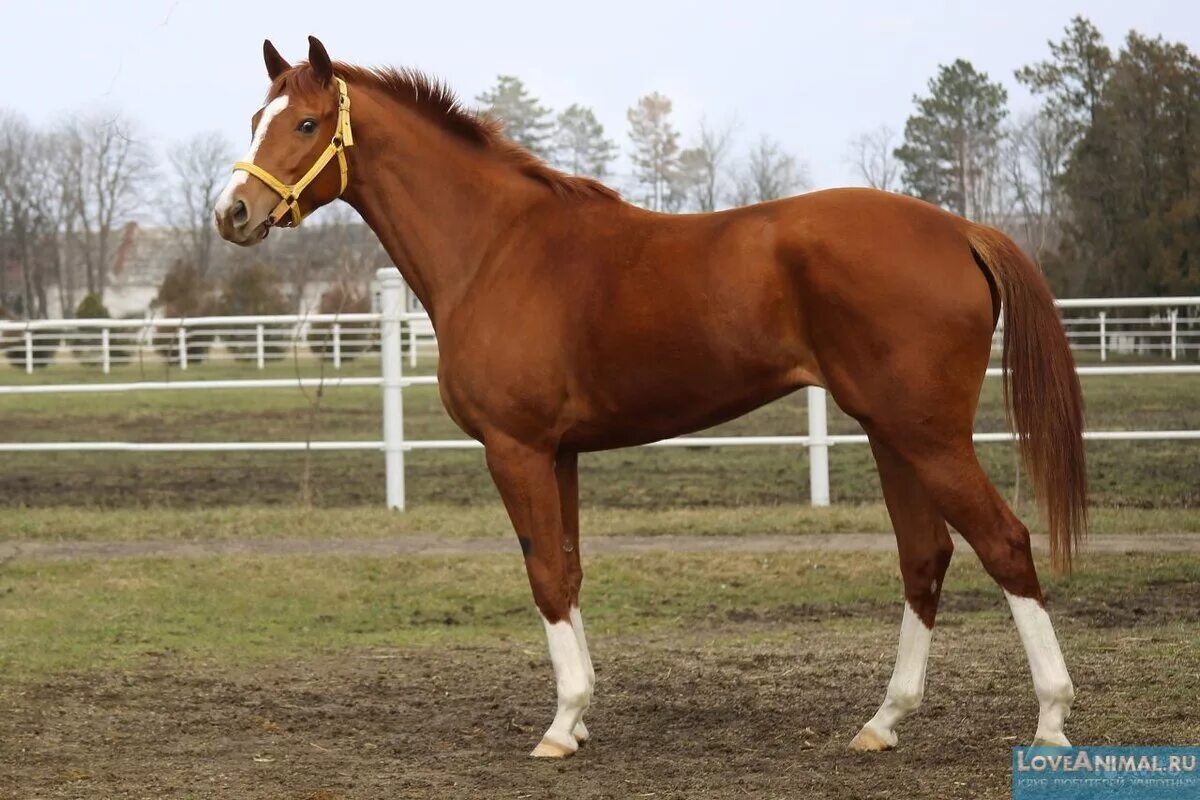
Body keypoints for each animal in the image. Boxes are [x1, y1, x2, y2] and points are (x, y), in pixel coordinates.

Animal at [213, 37, 1089, 762]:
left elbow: (544, 575)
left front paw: (561, 725)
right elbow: (568, 569)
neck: (495, 248)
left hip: (928, 435)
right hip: (889, 431)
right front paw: (580, 717)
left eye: (306, 123)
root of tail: (961, 230)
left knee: (1005, 543)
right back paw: (884, 721)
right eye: (257, 117)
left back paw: (1051, 719)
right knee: (925, 557)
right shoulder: (558, 452)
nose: (233, 214)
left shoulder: (516, 449)